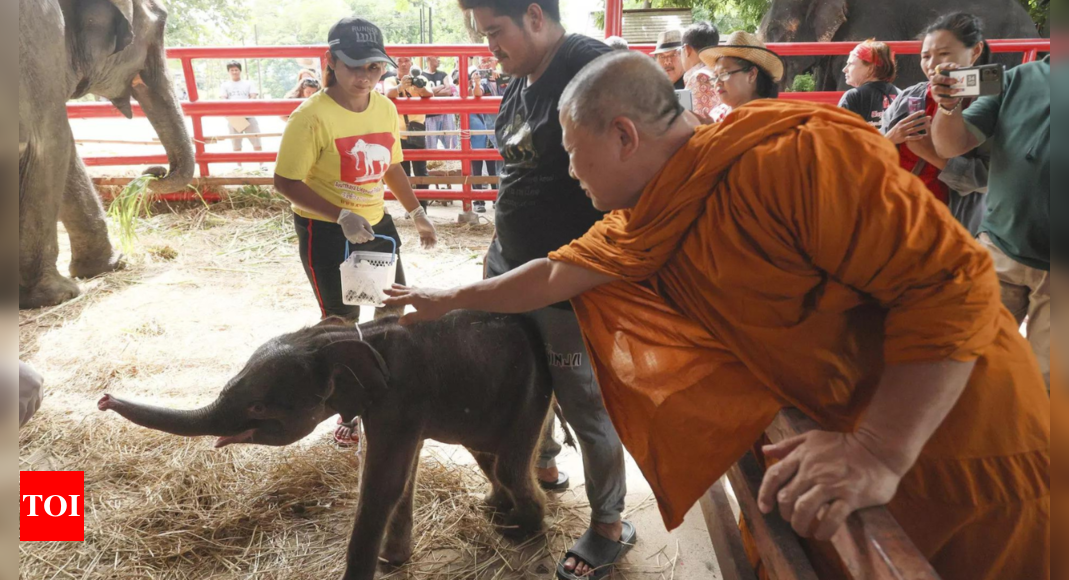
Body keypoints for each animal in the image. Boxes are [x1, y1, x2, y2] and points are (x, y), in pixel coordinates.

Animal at [101, 314, 555, 580]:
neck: (340, 337)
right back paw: (496, 509)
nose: (104, 399)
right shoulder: (392, 406)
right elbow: (401, 478)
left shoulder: (401, 397)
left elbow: (383, 485)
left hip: (530, 393)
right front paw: (393, 561)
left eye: (258, 407)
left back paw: (522, 529)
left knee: (509, 463)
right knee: (488, 456)